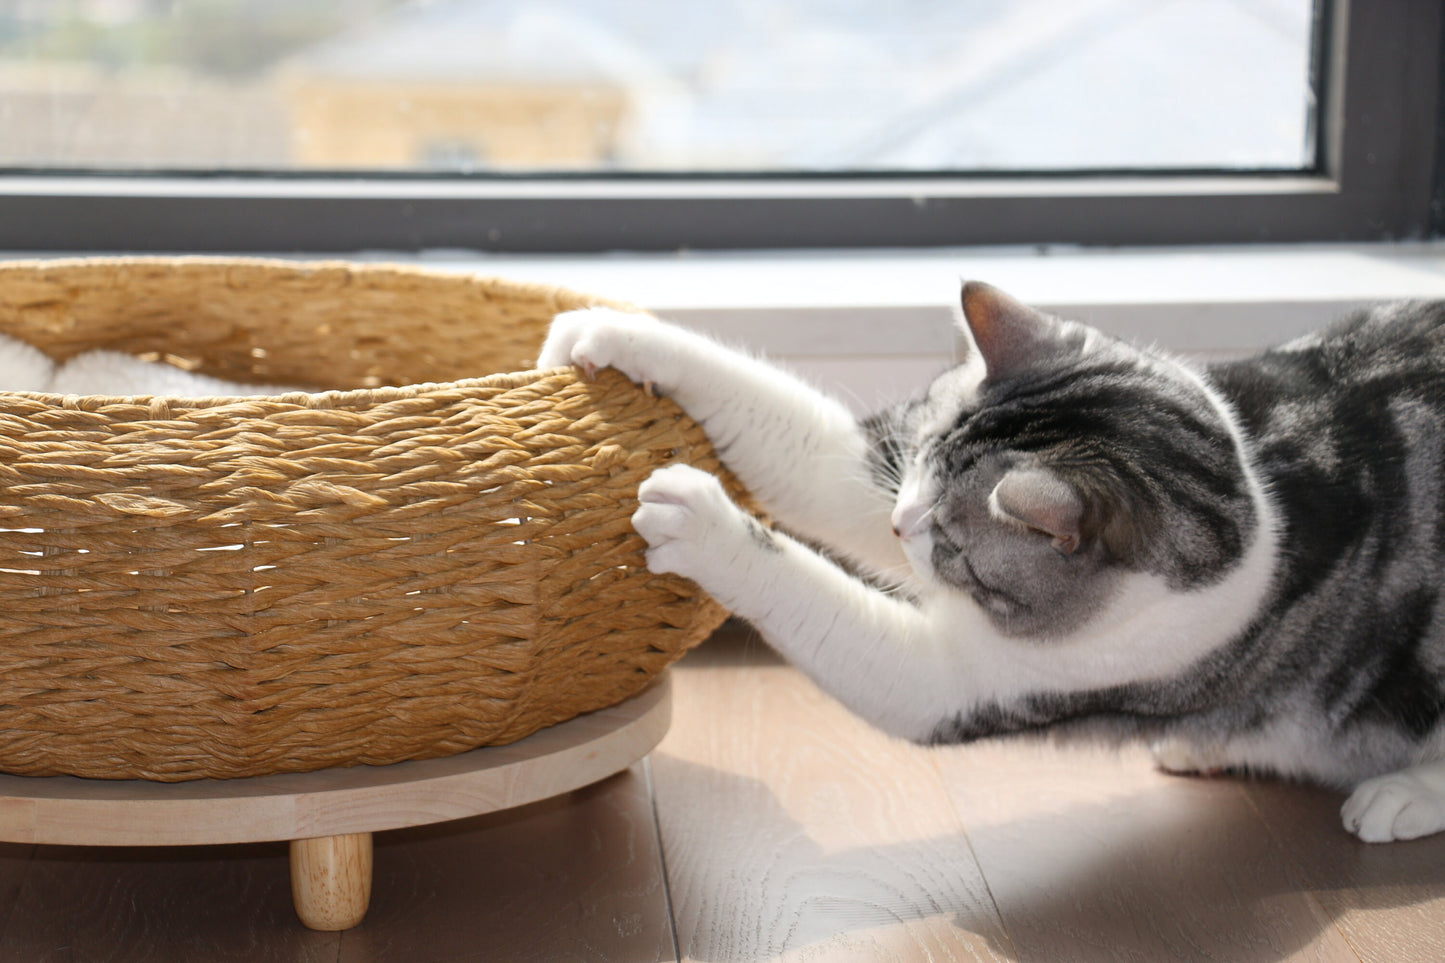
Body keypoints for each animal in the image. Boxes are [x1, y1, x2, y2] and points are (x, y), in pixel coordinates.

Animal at [534, 283, 1445, 838]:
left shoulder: (989, 678)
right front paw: (609, 330)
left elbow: (836, 616)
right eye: (916, 459)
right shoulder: (865, 473)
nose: (898, 522)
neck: (1258, 500)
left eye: (952, 537)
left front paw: (699, 520)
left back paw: (1395, 794)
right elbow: (803, 446)